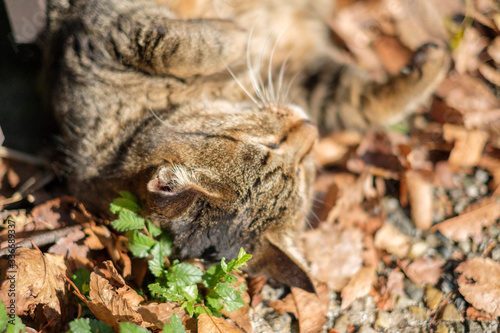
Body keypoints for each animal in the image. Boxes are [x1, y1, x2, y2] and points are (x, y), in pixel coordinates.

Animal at [43, 0, 450, 290]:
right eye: (270, 143)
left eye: (303, 170)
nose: (312, 129)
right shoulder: (105, 35)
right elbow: (179, 43)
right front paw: (237, 34)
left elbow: (362, 101)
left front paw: (433, 64)